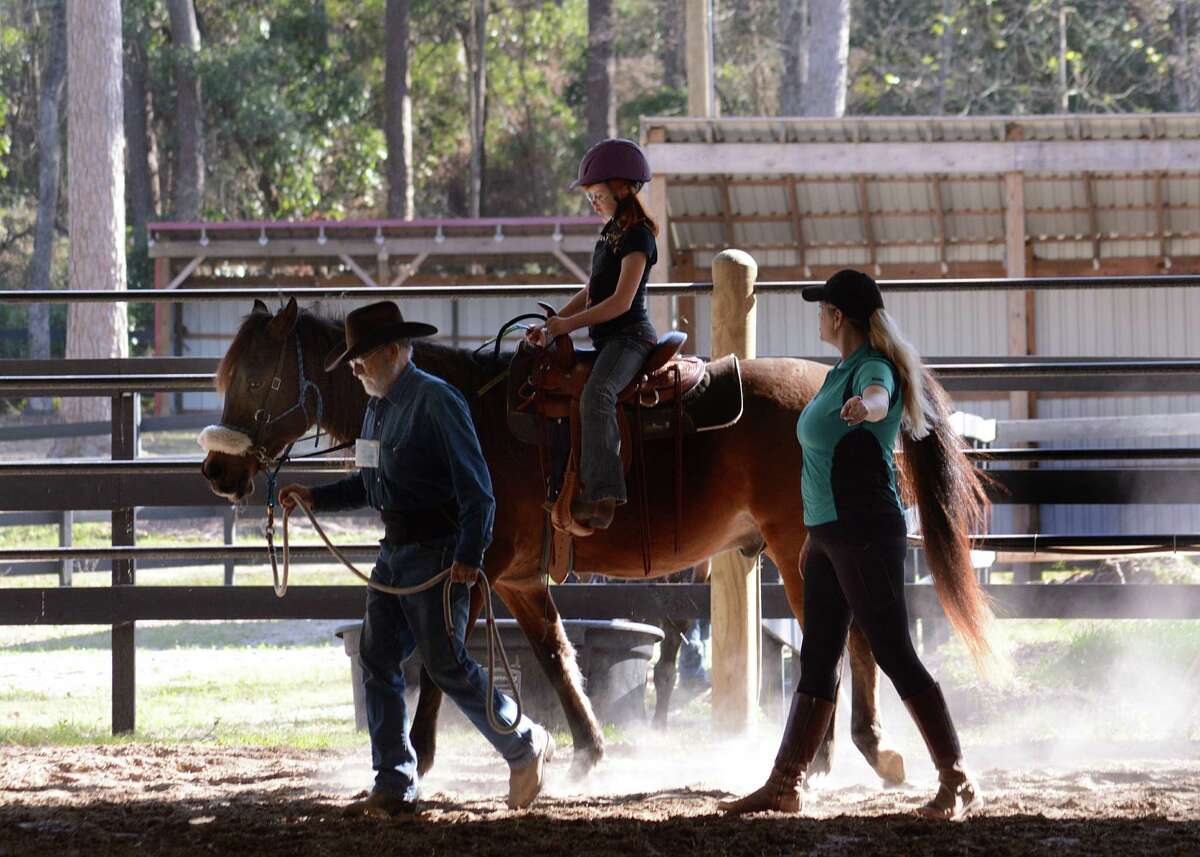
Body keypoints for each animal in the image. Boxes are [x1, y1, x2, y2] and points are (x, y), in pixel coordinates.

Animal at [200, 298, 991, 784]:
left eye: (261, 378)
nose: (217, 471)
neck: (468, 413)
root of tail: (841, 387)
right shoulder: (515, 577)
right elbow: (556, 657)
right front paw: (586, 751)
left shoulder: (472, 564)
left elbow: (443, 656)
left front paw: (419, 757)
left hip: (805, 544)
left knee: (847, 635)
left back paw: (856, 749)